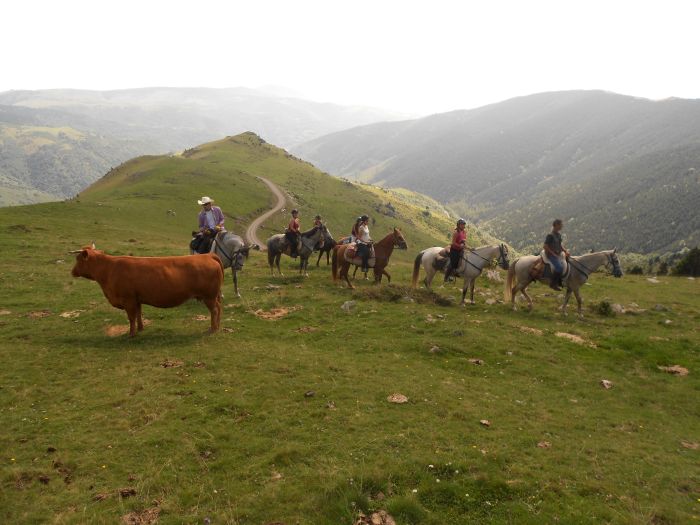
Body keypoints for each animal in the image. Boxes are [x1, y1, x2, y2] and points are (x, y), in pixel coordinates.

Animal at [69, 246, 223, 336]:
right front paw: (140, 329)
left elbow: (131, 317)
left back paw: (213, 329)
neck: (109, 269)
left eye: (78, 259)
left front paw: (131, 334)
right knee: (219, 308)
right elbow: (138, 314)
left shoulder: (128, 300)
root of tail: (207, 255)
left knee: (214, 310)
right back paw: (218, 326)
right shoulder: (136, 300)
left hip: (209, 296)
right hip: (213, 296)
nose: (72, 272)